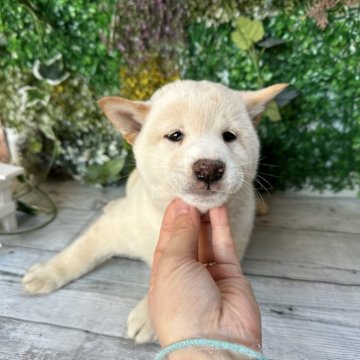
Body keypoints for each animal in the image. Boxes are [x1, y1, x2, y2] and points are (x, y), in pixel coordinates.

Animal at [22, 79, 286, 344]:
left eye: (229, 136)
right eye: (175, 135)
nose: (209, 169)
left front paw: (148, 316)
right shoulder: (114, 228)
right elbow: (79, 252)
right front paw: (47, 272)